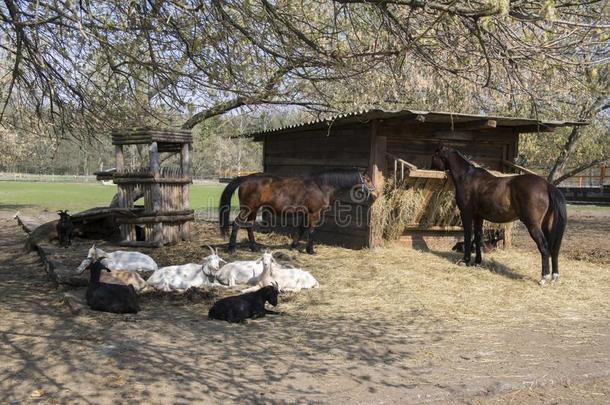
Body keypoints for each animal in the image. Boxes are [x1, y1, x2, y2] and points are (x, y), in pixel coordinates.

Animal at [216, 169, 372, 254]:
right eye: (368, 180)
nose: (373, 193)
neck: (321, 186)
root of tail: (246, 178)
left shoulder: (305, 213)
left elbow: (301, 229)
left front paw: (294, 246)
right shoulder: (314, 214)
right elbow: (311, 231)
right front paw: (310, 250)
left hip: (253, 209)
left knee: (249, 226)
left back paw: (254, 248)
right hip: (247, 208)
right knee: (236, 223)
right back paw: (231, 248)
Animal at [428, 146, 564, 284]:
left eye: (434, 156)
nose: (430, 168)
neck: (467, 177)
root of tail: (547, 186)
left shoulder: (466, 213)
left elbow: (467, 235)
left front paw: (465, 260)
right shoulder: (478, 216)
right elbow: (478, 237)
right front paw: (477, 262)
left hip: (533, 225)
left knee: (544, 247)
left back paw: (544, 277)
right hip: (547, 226)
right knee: (554, 248)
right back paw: (554, 276)